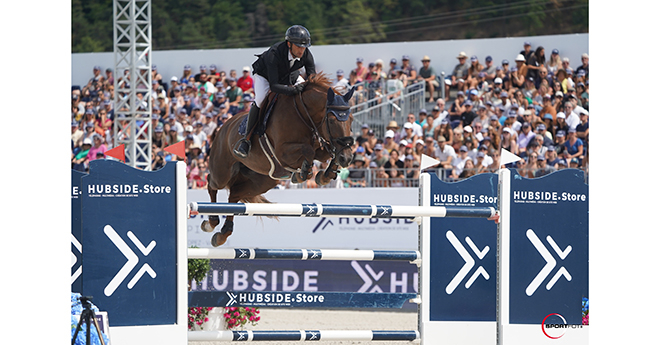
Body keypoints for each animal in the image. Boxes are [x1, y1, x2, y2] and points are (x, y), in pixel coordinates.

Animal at [202, 72, 354, 246]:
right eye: (331, 121)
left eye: (351, 119)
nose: (347, 158)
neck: (303, 114)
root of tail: (224, 126)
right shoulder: (283, 153)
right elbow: (308, 150)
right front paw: (303, 174)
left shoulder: (321, 148)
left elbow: (327, 153)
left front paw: (324, 176)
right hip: (222, 172)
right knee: (212, 183)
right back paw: (210, 223)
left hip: (262, 181)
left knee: (234, 195)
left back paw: (223, 234)